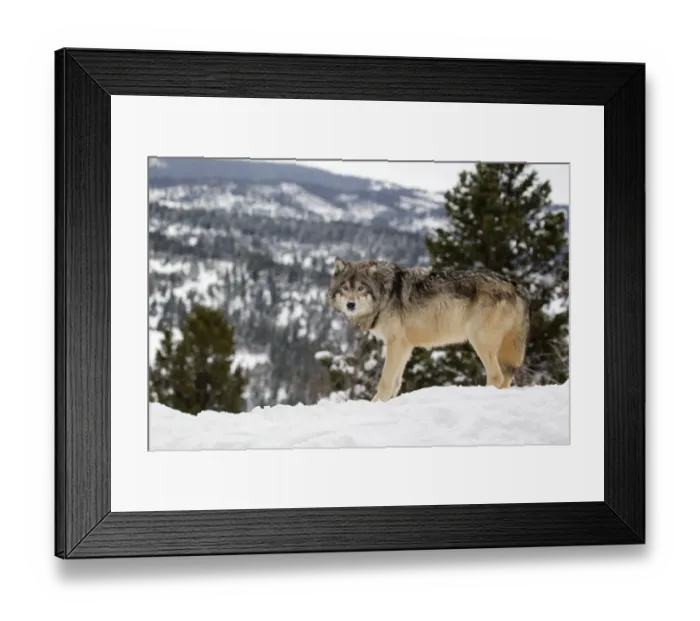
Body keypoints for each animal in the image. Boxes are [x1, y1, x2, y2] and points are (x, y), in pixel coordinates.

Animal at [327, 257, 531, 402]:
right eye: (345, 287)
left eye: (361, 288)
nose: (350, 305)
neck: (386, 294)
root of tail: (514, 286)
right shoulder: (404, 346)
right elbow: (395, 383)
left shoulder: (395, 343)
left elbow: (385, 380)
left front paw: (375, 403)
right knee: (506, 377)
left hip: (480, 341)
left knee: (496, 376)